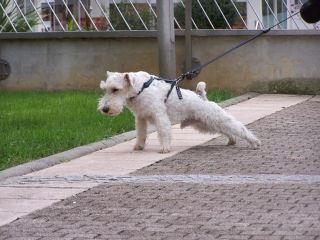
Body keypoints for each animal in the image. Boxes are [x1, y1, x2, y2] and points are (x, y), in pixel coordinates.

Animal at [99, 71, 262, 154]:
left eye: (115, 89)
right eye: (105, 89)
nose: (105, 109)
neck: (140, 89)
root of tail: (202, 97)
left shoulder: (159, 116)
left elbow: (163, 132)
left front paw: (165, 148)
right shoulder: (141, 118)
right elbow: (141, 134)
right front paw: (139, 146)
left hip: (215, 119)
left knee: (238, 127)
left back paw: (255, 142)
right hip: (206, 124)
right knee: (227, 130)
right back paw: (232, 141)